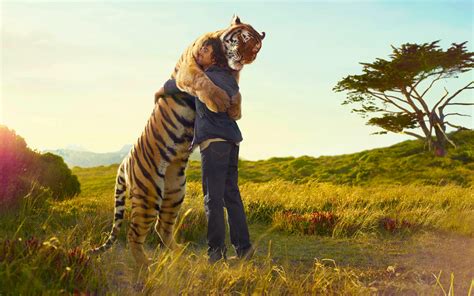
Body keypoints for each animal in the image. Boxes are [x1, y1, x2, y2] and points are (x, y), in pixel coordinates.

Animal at [90, 15, 262, 266]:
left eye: (257, 47)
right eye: (245, 38)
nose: (247, 57)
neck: (222, 60)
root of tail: (124, 162)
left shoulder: (233, 77)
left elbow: (237, 92)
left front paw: (234, 109)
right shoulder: (188, 70)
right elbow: (203, 81)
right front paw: (220, 102)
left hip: (174, 192)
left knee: (161, 227)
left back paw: (181, 254)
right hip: (149, 194)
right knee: (134, 233)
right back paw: (146, 265)